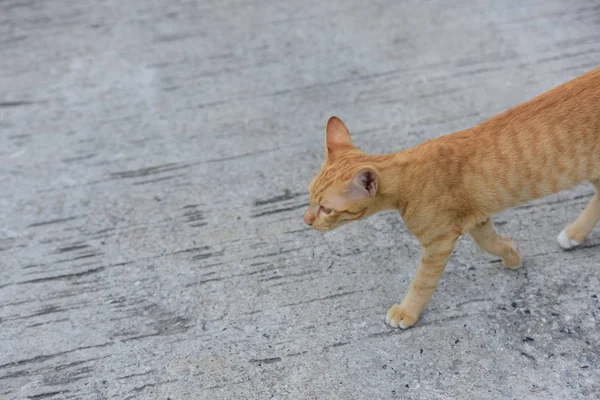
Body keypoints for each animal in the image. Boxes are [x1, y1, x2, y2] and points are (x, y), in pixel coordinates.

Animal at [304, 66, 600, 328]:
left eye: (326, 209)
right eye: (309, 197)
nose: (306, 221)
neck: (408, 175)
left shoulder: (439, 242)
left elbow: (423, 281)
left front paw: (407, 312)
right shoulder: (478, 218)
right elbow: (489, 242)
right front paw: (512, 255)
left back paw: (574, 234)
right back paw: (575, 233)